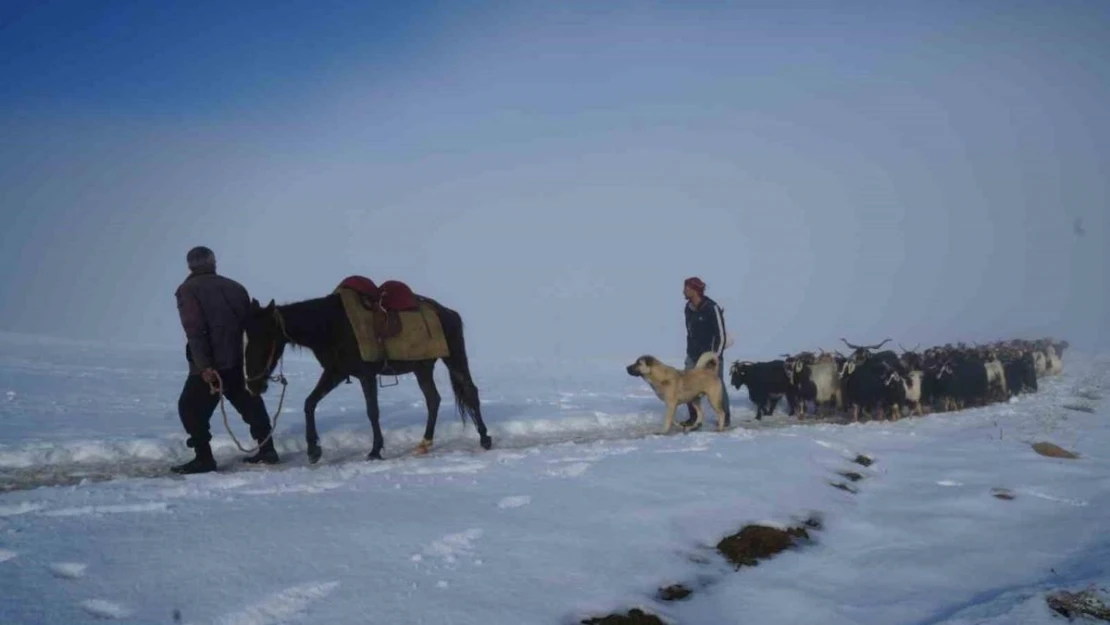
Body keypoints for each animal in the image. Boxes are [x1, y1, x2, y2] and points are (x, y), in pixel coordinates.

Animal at [245, 290, 492, 461]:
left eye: (265, 338)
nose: (253, 386)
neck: (332, 326)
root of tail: (449, 313)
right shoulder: (335, 372)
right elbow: (309, 403)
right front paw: (314, 450)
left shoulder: (366, 375)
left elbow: (372, 411)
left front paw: (375, 450)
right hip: (422, 368)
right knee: (433, 399)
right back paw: (424, 443)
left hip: (454, 358)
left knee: (469, 391)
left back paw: (484, 438)